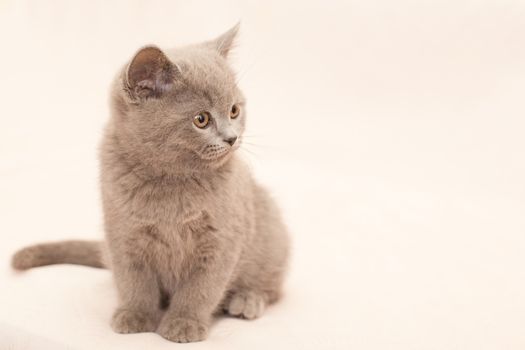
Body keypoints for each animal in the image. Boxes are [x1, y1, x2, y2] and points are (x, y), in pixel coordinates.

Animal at [11, 25, 290, 344]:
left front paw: (184, 323)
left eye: (234, 111)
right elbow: (134, 281)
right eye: (201, 119)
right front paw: (135, 315)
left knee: (270, 285)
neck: (171, 181)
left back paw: (247, 300)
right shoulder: (124, 235)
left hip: (271, 233)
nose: (232, 138)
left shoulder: (222, 239)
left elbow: (201, 288)